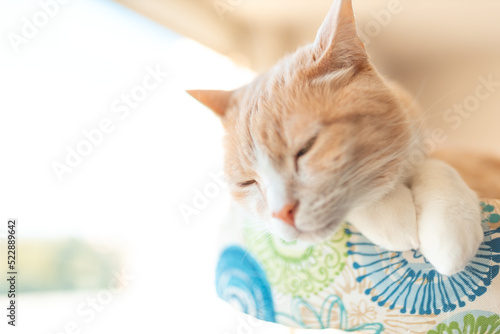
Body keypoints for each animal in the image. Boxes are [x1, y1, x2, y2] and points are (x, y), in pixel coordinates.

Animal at [188, 0, 500, 276]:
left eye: (306, 149)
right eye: (248, 182)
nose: (281, 213)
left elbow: (437, 166)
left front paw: (451, 225)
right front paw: (391, 217)